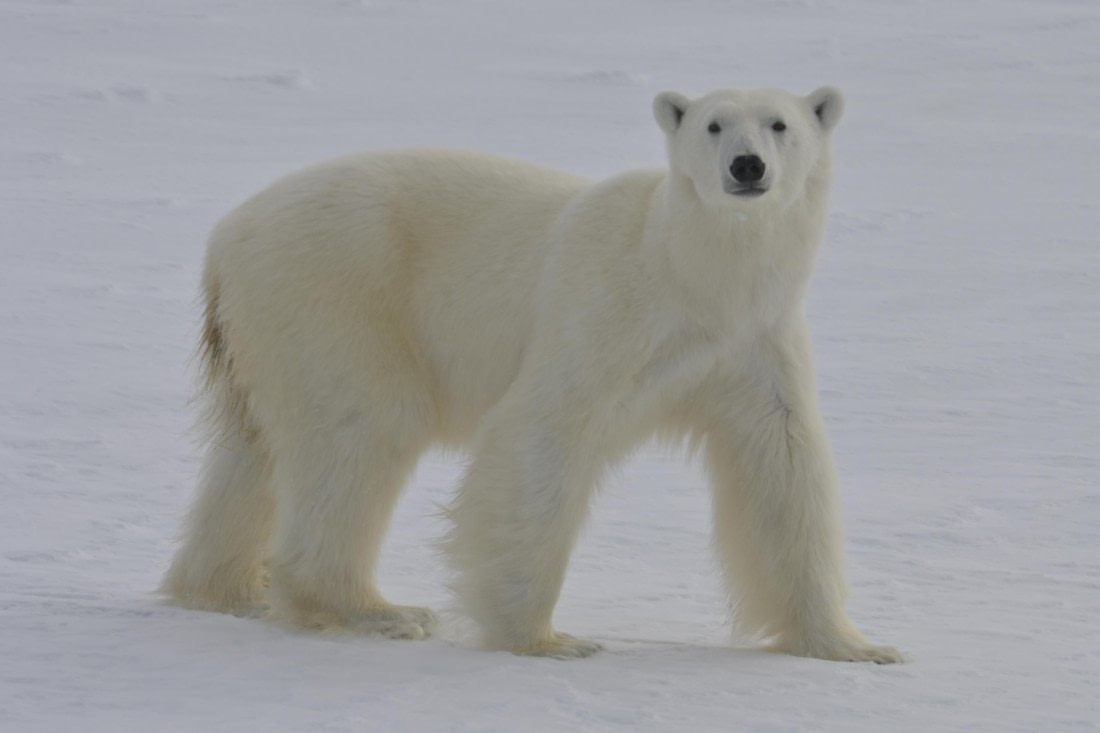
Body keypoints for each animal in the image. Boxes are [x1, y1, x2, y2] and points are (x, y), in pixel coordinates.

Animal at [161, 85, 902, 663]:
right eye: (714, 124)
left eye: (780, 123)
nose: (747, 167)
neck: (694, 275)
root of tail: (224, 238)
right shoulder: (606, 308)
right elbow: (541, 432)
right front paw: (546, 638)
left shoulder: (755, 342)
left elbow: (781, 464)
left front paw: (854, 644)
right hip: (338, 291)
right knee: (360, 428)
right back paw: (376, 609)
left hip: (270, 331)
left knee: (252, 454)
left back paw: (225, 588)